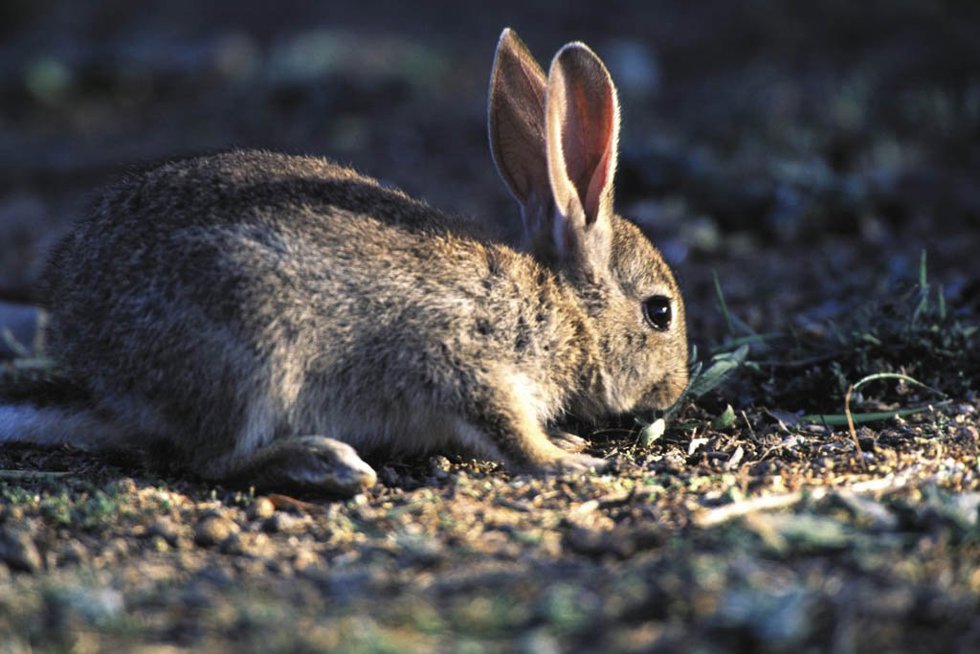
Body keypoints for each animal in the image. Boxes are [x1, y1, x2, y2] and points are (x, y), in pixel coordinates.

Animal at [0, 28, 688, 496]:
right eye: (659, 312)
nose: (675, 390)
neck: (564, 310)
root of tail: (104, 380)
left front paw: (565, 439)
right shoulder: (463, 355)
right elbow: (501, 425)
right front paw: (565, 460)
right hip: (254, 348)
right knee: (203, 460)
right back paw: (323, 463)